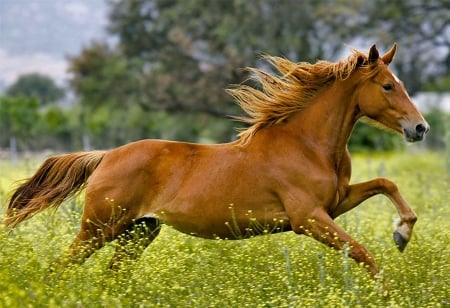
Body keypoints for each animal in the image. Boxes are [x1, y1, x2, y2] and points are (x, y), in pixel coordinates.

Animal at [4, 44, 428, 276]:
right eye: (387, 86)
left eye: (400, 84)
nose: (420, 128)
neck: (306, 144)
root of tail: (106, 156)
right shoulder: (308, 218)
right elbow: (363, 254)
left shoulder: (335, 204)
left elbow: (385, 184)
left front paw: (402, 233)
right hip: (98, 229)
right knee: (61, 268)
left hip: (138, 231)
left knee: (112, 278)